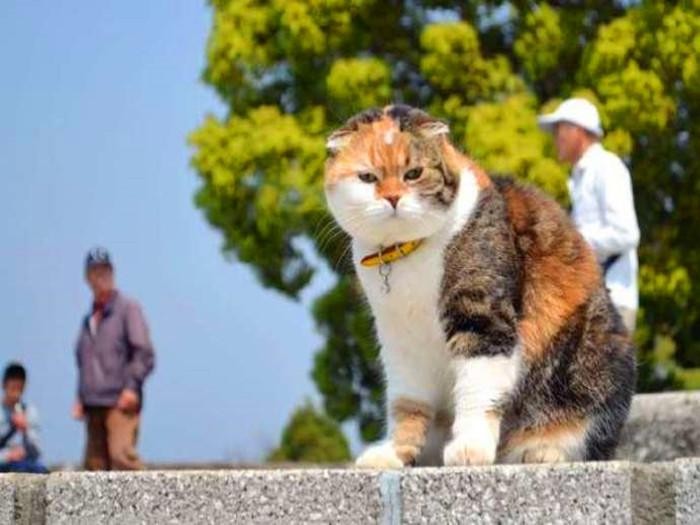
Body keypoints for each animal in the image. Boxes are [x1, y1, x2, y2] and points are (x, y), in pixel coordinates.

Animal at [322, 103, 636, 466]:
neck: (404, 257)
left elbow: (478, 386)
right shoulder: (398, 337)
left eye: (413, 173)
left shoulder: (482, 314)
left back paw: (544, 450)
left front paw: (470, 448)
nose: (392, 198)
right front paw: (395, 454)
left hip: (595, 351)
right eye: (367, 177)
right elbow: (406, 403)